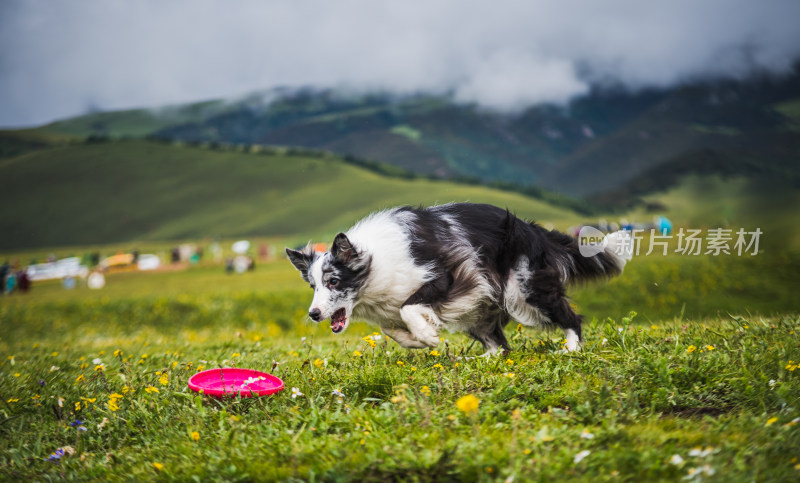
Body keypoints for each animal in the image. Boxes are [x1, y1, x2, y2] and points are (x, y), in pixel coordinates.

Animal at [288, 202, 632, 354]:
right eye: (313, 285)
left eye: (333, 281)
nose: (313, 314)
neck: (375, 261)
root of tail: (533, 229)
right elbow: (390, 328)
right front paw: (417, 339)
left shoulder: (450, 275)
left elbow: (408, 308)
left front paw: (428, 336)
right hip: (479, 309)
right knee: (499, 344)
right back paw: (484, 359)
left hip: (524, 289)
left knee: (570, 316)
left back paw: (571, 348)